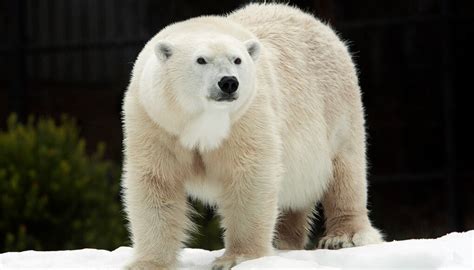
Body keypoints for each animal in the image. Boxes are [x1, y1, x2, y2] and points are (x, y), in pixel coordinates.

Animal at [120, 2, 384, 270]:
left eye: (237, 60)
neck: (203, 122)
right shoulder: (156, 122)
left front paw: (237, 257)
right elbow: (156, 182)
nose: (228, 82)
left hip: (335, 105)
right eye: (201, 60)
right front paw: (148, 263)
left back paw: (344, 237)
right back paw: (284, 241)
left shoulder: (247, 116)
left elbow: (250, 175)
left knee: (345, 168)